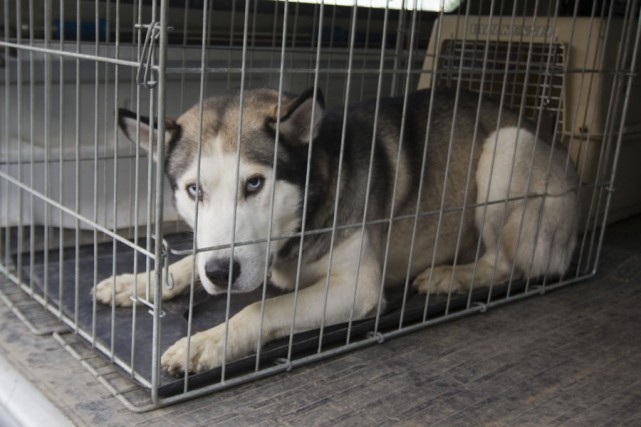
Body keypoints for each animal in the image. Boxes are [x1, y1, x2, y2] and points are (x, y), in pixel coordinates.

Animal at [95, 88, 580, 376]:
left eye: (254, 184)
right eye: (193, 190)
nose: (220, 274)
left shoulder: (356, 289)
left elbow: (261, 309)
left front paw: (208, 342)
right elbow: (188, 260)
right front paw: (137, 282)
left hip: (507, 148)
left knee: (514, 265)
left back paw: (453, 276)